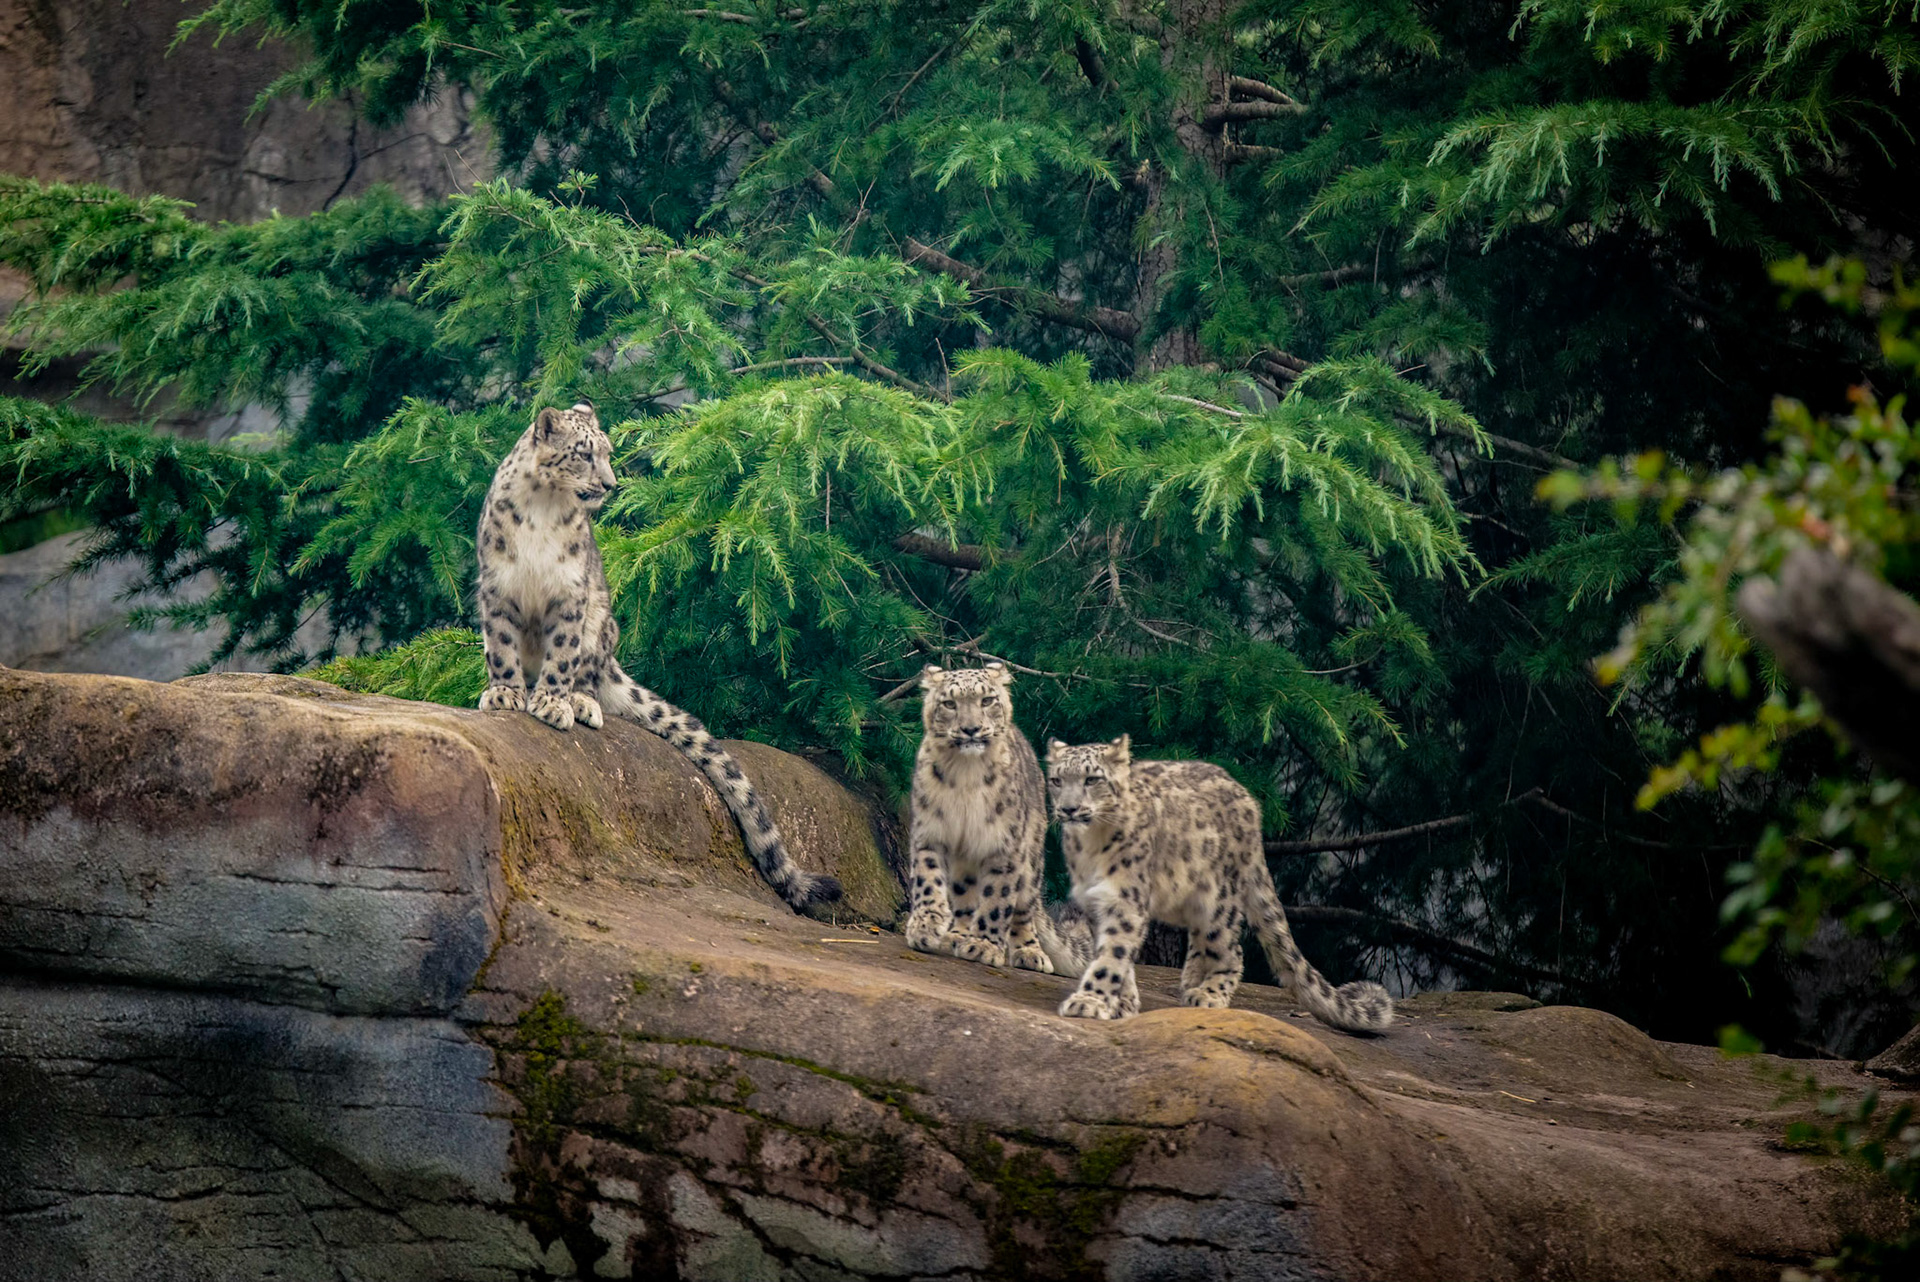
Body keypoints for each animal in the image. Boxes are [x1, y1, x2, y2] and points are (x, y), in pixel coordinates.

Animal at [473, 400, 840, 913]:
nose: (610, 484)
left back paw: (581, 702)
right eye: (583, 453)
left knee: (589, 670)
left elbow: (562, 656)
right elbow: (501, 646)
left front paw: (551, 702)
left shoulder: (570, 596)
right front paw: (505, 693)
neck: (543, 511)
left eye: (608, 452)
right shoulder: (498, 588)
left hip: (602, 625)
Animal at [903, 662, 1090, 975]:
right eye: (949, 703)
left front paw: (984, 946)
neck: (966, 774)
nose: (970, 729)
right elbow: (928, 879)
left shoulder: (1004, 844)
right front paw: (925, 927)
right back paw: (956, 935)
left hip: (1031, 860)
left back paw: (1030, 953)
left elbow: (997, 898)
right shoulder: (930, 831)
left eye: (987, 700)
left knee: (1024, 908)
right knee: (964, 892)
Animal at [1045, 735, 1392, 1033]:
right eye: (1057, 780)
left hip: (1217, 901)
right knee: (1199, 941)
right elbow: (1116, 957)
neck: (1091, 846)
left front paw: (1089, 1001)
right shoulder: (1095, 903)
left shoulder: (1125, 900)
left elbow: (1111, 956)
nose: (1069, 809)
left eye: (1092, 779)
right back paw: (1191, 985)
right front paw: (1123, 1003)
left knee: (1232, 949)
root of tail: (1249, 802)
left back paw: (1208, 994)